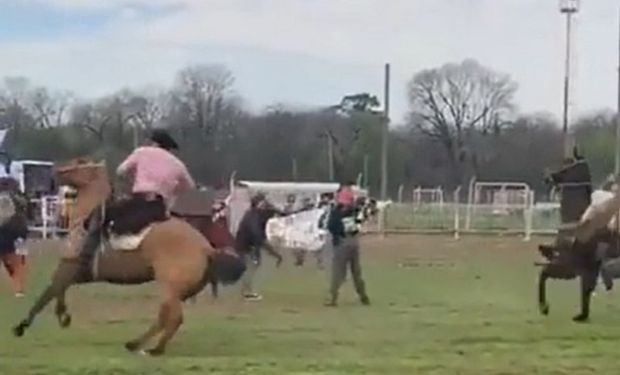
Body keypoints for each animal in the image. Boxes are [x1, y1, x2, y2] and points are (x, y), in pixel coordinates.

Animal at [12, 158, 245, 356]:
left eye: (79, 162)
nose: (56, 173)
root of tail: (208, 249)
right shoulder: (75, 274)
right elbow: (57, 291)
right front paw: (63, 315)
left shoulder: (68, 268)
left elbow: (47, 294)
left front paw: (22, 326)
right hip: (178, 291)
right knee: (166, 317)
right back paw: (139, 345)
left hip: (169, 286)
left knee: (172, 318)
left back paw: (150, 348)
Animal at [536, 153, 616, 324]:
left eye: (567, 164)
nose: (547, 178)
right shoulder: (584, 270)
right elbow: (585, 292)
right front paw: (582, 315)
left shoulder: (568, 266)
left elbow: (543, 274)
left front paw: (544, 307)